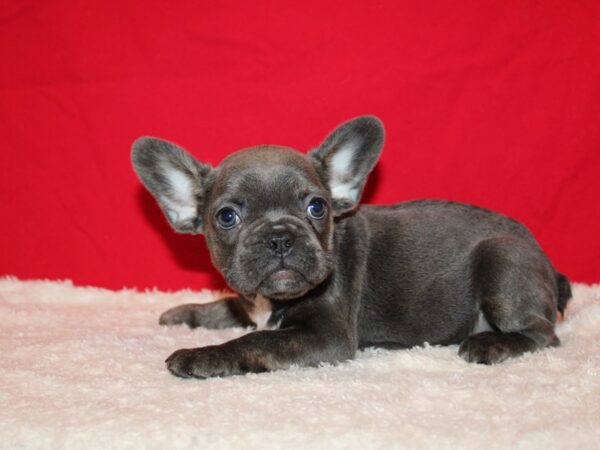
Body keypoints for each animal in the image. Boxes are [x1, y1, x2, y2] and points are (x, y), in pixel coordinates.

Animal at [131, 117, 572, 380]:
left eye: (317, 207)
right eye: (226, 217)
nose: (280, 236)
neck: (271, 300)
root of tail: (546, 262)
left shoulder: (326, 336)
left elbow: (256, 341)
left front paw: (201, 355)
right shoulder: (249, 298)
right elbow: (229, 306)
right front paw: (185, 313)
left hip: (503, 259)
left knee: (543, 333)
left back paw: (490, 343)